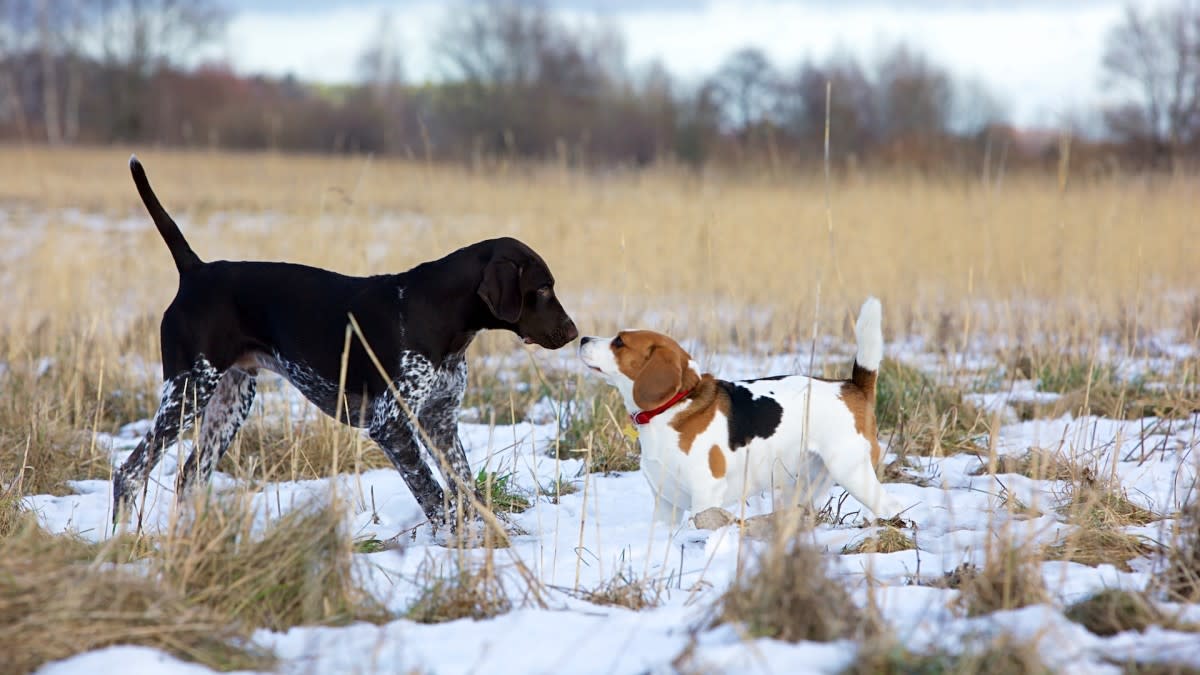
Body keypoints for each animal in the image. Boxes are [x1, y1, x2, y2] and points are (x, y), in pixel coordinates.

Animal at [112, 154, 576, 528]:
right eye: (543, 288)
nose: (573, 332)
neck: (443, 321)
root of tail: (195, 270)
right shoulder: (391, 426)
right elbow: (432, 493)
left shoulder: (440, 422)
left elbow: (465, 487)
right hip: (187, 391)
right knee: (130, 473)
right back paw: (123, 545)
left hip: (229, 401)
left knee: (189, 478)